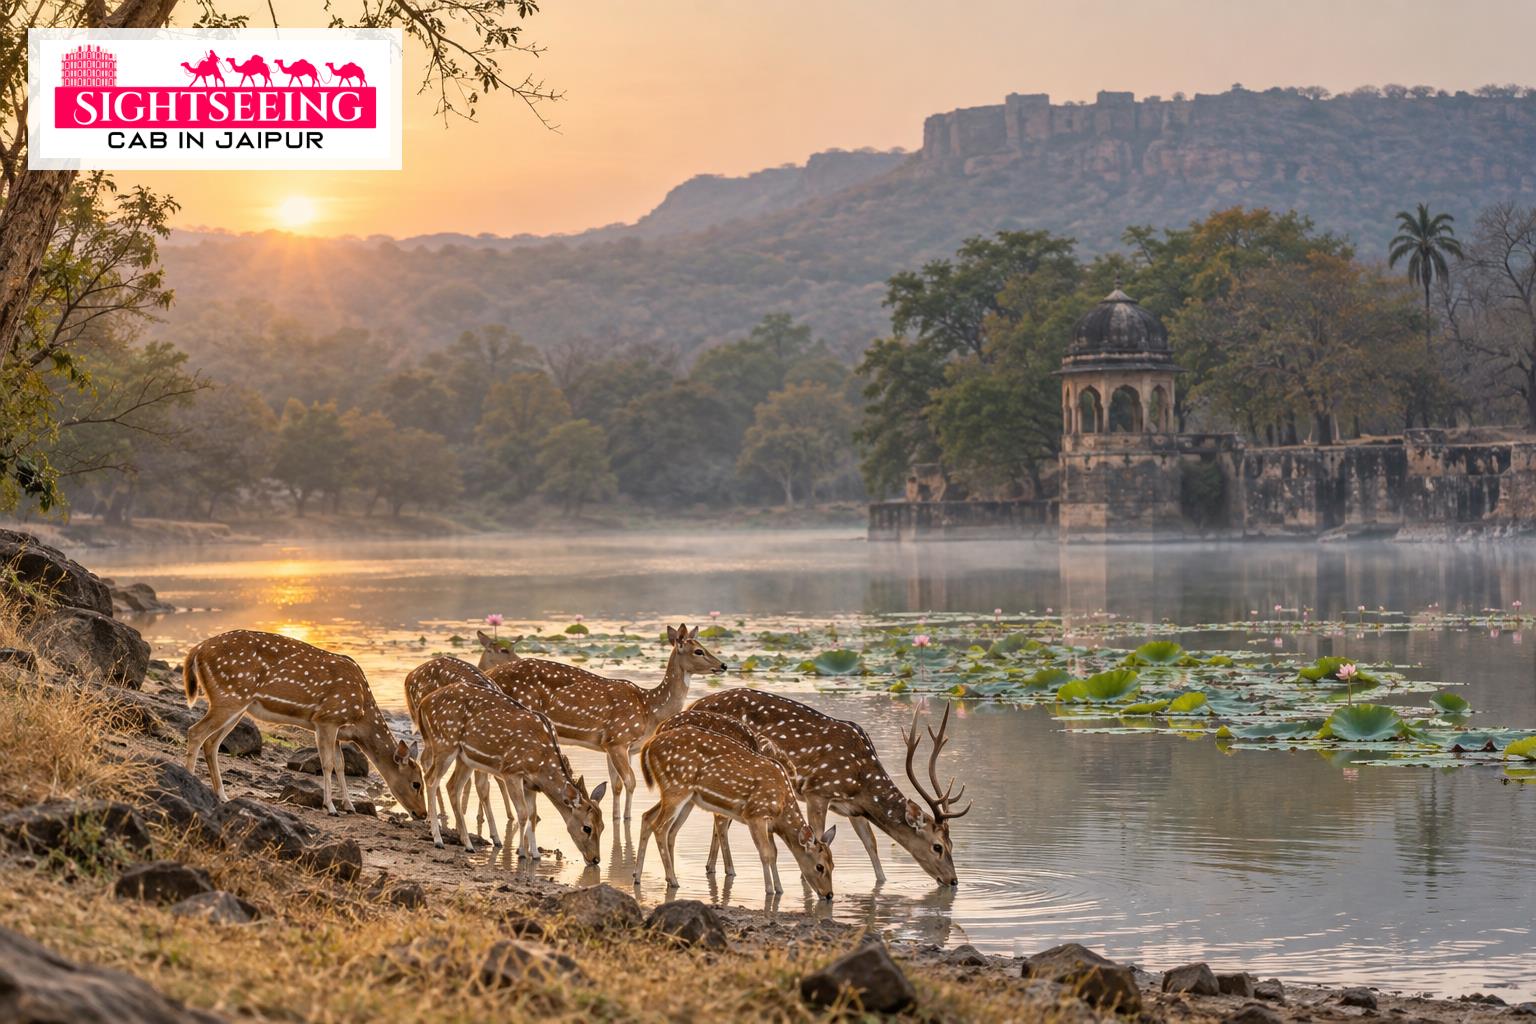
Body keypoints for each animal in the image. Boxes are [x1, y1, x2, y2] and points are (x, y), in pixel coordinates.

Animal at [182, 630, 427, 818]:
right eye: (416, 783)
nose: (422, 814)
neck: (360, 716)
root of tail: (196, 650)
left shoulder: (337, 729)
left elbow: (340, 764)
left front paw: (349, 806)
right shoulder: (326, 719)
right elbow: (327, 764)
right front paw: (330, 807)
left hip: (237, 705)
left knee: (211, 743)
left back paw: (222, 795)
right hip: (230, 696)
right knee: (195, 732)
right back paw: (191, 783)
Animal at [414, 679, 605, 863]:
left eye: (603, 826)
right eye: (587, 827)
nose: (595, 859)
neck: (542, 764)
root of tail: (424, 703)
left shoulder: (531, 784)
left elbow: (533, 815)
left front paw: (536, 854)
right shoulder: (511, 771)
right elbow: (523, 813)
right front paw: (521, 853)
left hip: (465, 757)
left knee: (452, 786)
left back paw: (468, 844)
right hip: (444, 742)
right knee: (431, 779)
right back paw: (438, 839)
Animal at [484, 623, 726, 821]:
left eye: (703, 645)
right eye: (698, 651)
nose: (723, 665)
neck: (650, 709)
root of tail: (490, 673)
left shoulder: (613, 745)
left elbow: (616, 785)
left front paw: (616, 818)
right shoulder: (619, 738)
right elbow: (631, 782)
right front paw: (628, 818)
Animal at [636, 724, 835, 898]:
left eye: (833, 865)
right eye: (819, 866)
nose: (829, 895)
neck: (781, 808)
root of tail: (649, 745)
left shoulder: (769, 824)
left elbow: (774, 853)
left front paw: (779, 889)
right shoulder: (755, 813)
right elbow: (766, 853)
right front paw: (770, 890)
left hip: (681, 795)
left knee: (647, 816)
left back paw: (638, 877)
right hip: (677, 786)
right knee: (660, 827)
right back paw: (672, 880)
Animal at [689, 691, 969, 886]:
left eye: (953, 844)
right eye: (937, 846)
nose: (953, 880)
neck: (861, 777)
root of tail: (692, 705)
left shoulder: (854, 809)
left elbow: (871, 844)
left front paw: (882, 882)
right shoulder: (818, 792)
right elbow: (816, 835)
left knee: (719, 820)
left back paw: (712, 868)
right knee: (720, 820)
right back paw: (727, 871)